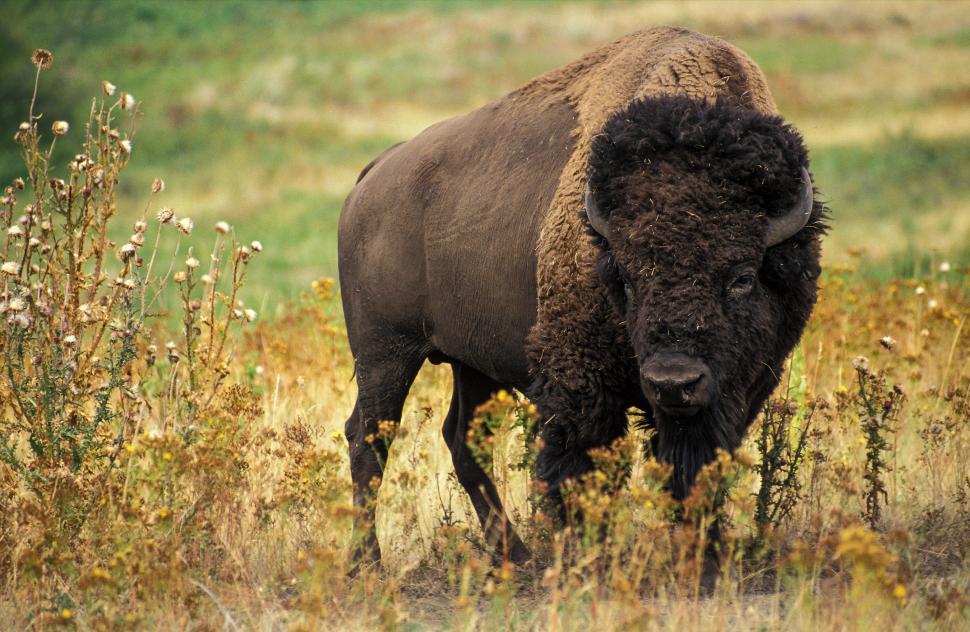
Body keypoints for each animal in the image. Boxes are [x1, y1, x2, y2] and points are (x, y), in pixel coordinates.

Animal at [338, 26, 825, 564]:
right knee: (369, 439)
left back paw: (514, 555)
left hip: (471, 361)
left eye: (742, 277)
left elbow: (697, 468)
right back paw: (368, 562)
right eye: (627, 278)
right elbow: (580, 469)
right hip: (385, 352)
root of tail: (375, 173)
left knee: (461, 439)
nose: (673, 382)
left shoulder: (738, 389)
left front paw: (703, 553)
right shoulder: (581, 385)